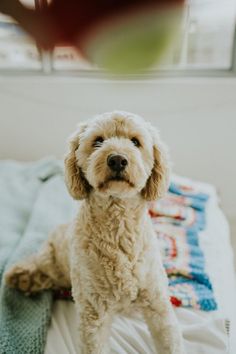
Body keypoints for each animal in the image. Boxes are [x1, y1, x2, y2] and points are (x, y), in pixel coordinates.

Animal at [5, 111, 185, 354]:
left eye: (135, 142)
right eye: (98, 141)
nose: (117, 159)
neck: (118, 225)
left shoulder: (158, 305)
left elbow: (170, 340)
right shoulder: (94, 314)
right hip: (54, 259)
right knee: (41, 264)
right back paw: (22, 276)